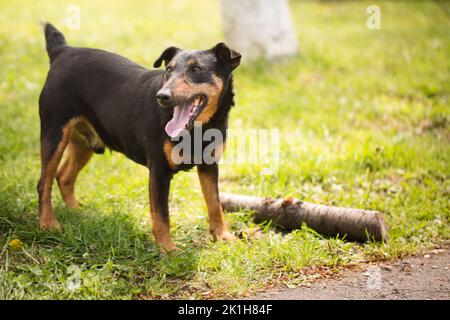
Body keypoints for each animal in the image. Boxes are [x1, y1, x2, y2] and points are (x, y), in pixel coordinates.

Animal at [38, 22, 241, 252]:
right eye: (168, 70)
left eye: (197, 69)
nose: (162, 96)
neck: (198, 129)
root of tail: (62, 51)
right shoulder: (159, 170)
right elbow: (161, 215)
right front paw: (168, 249)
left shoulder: (209, 165)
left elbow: (214, 203)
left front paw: (222, 235)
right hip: (54, 134)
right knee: (43, 183)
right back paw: (48, 223)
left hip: (83, 144)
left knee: (63, 176)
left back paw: (76, 212)